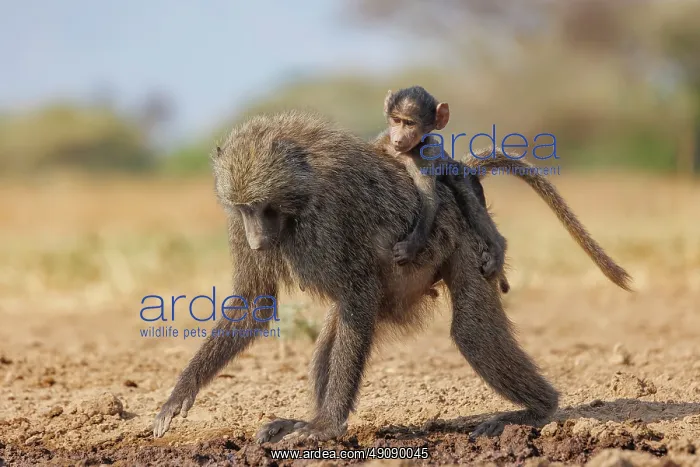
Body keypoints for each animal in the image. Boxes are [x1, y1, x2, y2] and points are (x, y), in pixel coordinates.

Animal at [152, 109, 564, 444]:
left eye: (264, 208)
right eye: (243, 209)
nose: (256, 243)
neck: (301, 189)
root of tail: (459, 183)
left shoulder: (330, 217)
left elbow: (358, 290)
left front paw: (327, 428)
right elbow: (255, 303)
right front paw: (180, 394)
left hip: (469, 243)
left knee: (471, 334)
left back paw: (535, 411)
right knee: (331, 336)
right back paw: (302, 420)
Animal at [375, 86, 511, 294]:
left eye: (410, 123)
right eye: (396, 120)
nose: (398, 139)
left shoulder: (426, 154)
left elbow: (430, 199)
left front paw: (410, 247)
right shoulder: (382, 139)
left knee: (465, 194)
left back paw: (498, 248)